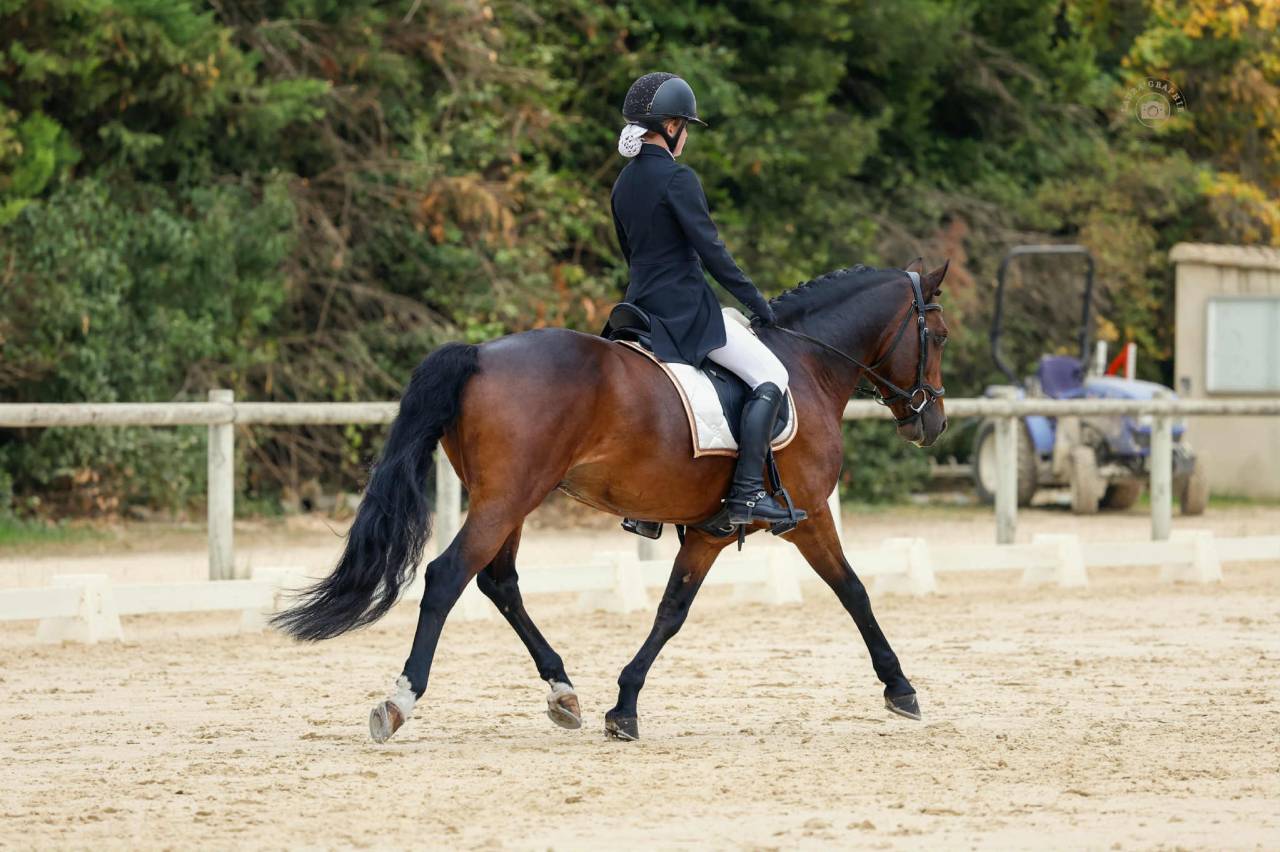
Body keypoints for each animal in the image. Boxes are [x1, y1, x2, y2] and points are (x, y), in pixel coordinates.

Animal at [273, 259, 950, 742]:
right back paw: (399, 700)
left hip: (510, 498)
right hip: (508, 496)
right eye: (938, 335)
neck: (807, 364)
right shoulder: (805, 514)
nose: (931, 423)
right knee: (447, 577)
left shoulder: (708, 529)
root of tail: (480, 354)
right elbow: (853, 590)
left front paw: (622, 706)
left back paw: (562, 693)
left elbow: (671, 610)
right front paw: (901, 688)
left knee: (500, 582)